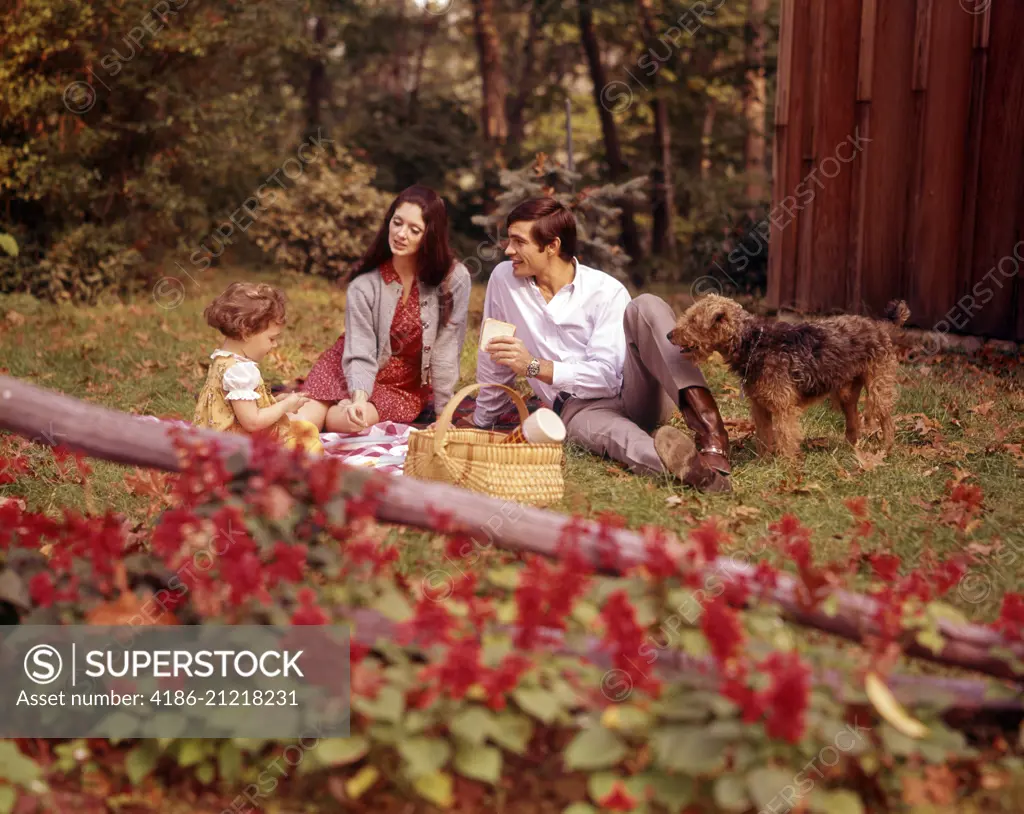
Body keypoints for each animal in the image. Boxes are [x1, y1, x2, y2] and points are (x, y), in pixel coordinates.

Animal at [667, 294, 909, 460]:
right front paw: (764, 463)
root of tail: (879, 325)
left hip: (878, 387)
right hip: (847, 393)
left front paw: (785, 467)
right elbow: (764, 437)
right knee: (854, 423)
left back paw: (885, 451)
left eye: (694, 320)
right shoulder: (760, 407)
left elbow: (785, 437)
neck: (752, 343)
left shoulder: (783, 407)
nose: (669, 335)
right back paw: (849, 450)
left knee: (888, 422)